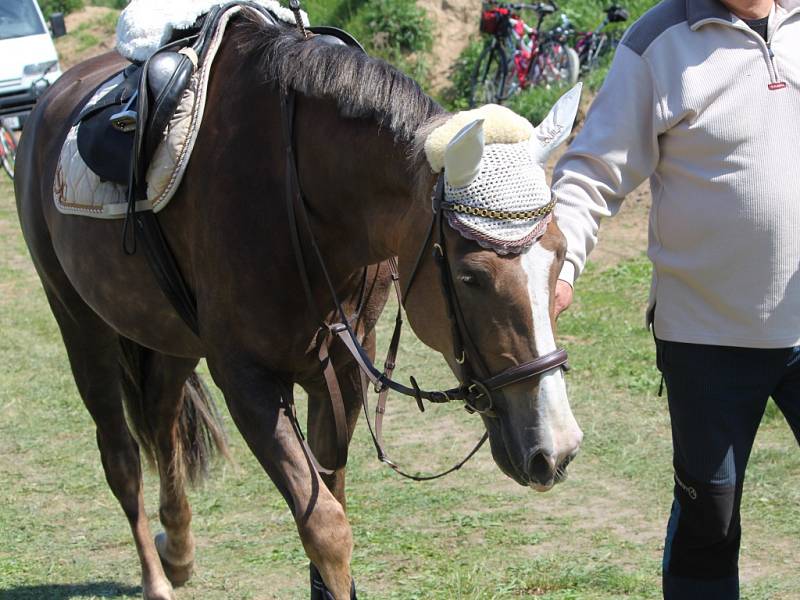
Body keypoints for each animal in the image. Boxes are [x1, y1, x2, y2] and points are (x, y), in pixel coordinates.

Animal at [14, 8, 580, 600]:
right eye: (471, 277)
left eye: (561, 255)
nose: (557, 449)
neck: (298, 196)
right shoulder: (247, 379)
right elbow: (327, 527)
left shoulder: (343, 366)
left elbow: (332, 494)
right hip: (79, 322)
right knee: (121, 456)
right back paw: (156, 578)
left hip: (169, 337)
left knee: (163, 422)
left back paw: (179, 550)